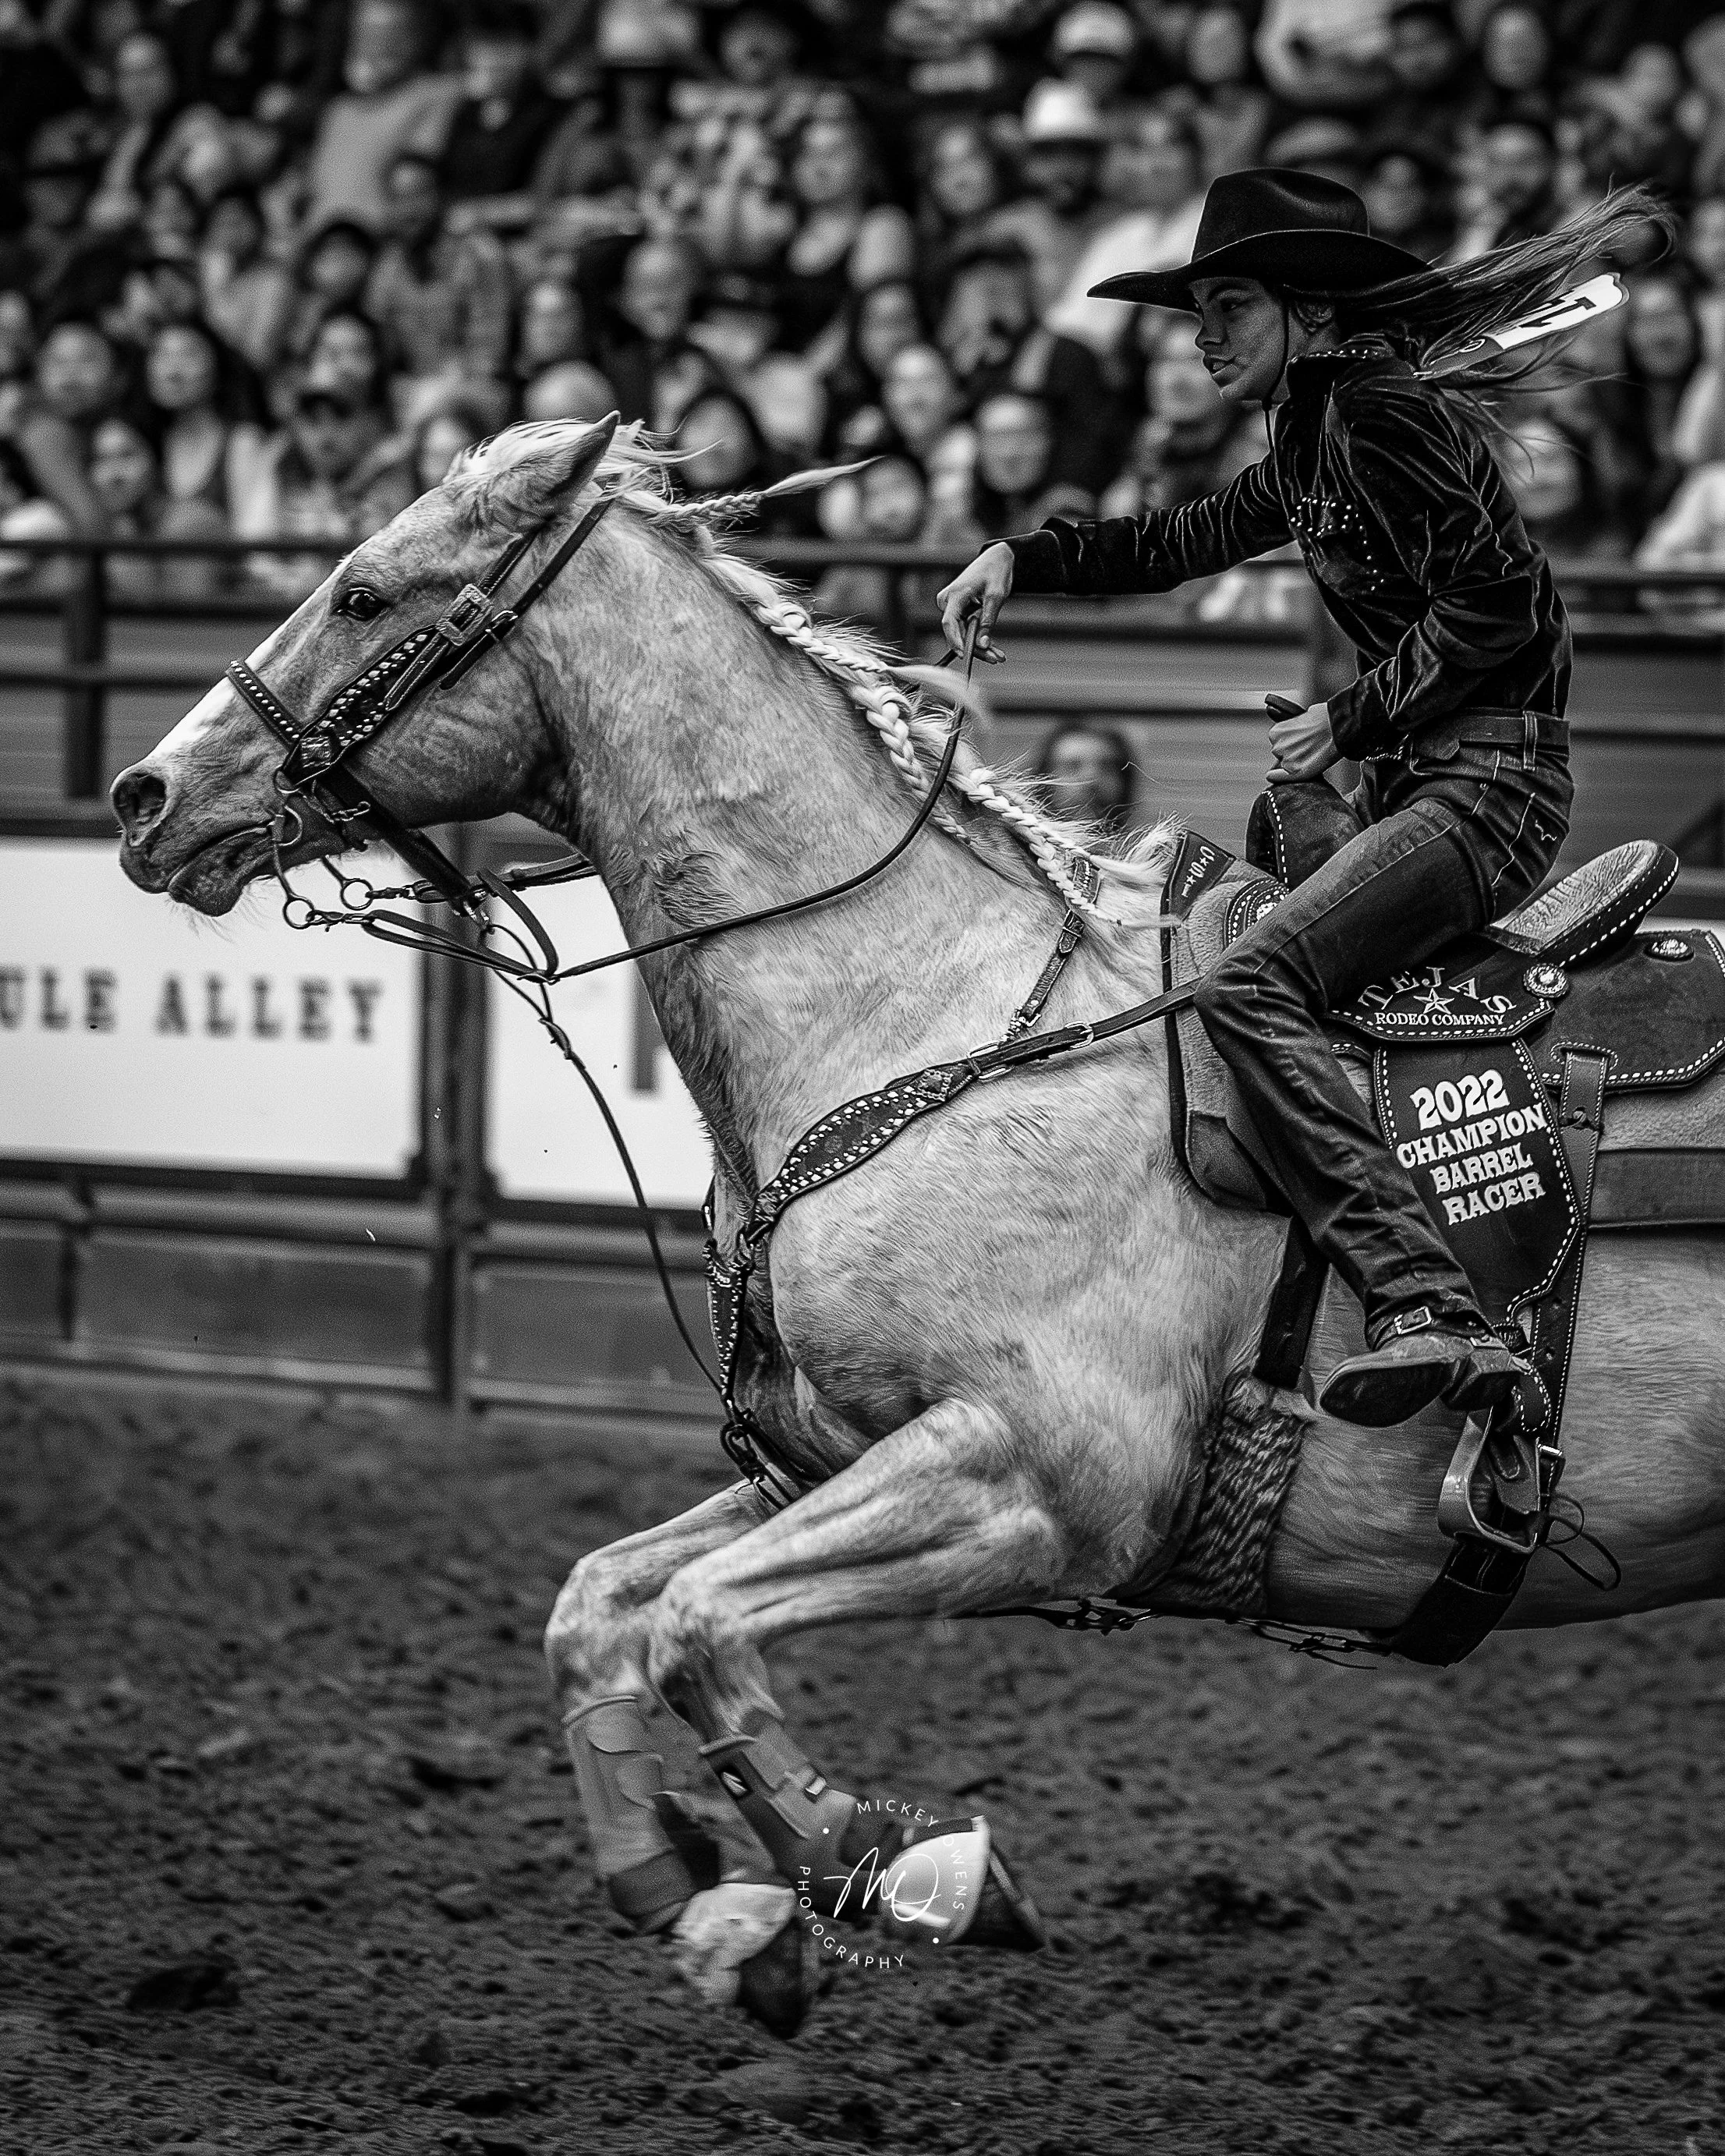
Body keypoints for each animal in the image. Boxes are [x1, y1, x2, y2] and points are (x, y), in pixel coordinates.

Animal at [109, 414, 1725, 2030]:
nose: (142, 798)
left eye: (367, 593)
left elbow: (697, 1621)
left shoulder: (1039, 1485)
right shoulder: (825, 1454)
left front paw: (902, 1871)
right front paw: (691, 1890)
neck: (918, 1008)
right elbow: (600, 1604)